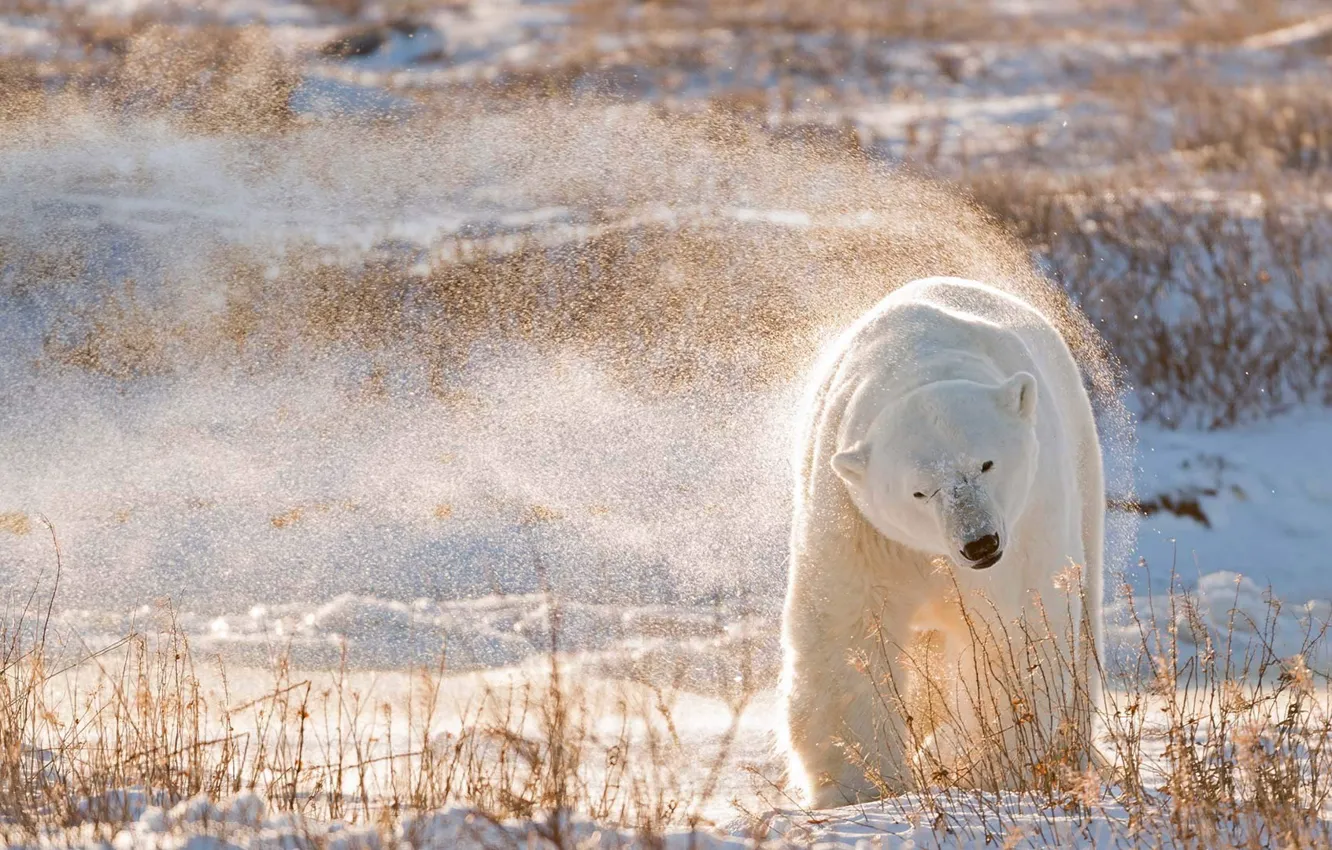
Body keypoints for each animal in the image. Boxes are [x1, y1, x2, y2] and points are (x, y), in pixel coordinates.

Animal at [778, 276, 1104, 809]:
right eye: (919, 490)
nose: (980, 544)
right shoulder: (858, 524)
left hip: (1081, 465)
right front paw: (858, 786)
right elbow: (849, 633)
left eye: (986, 463)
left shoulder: (1029, 516)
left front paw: (985, 765)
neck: (919, 359)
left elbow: (1014, 631)